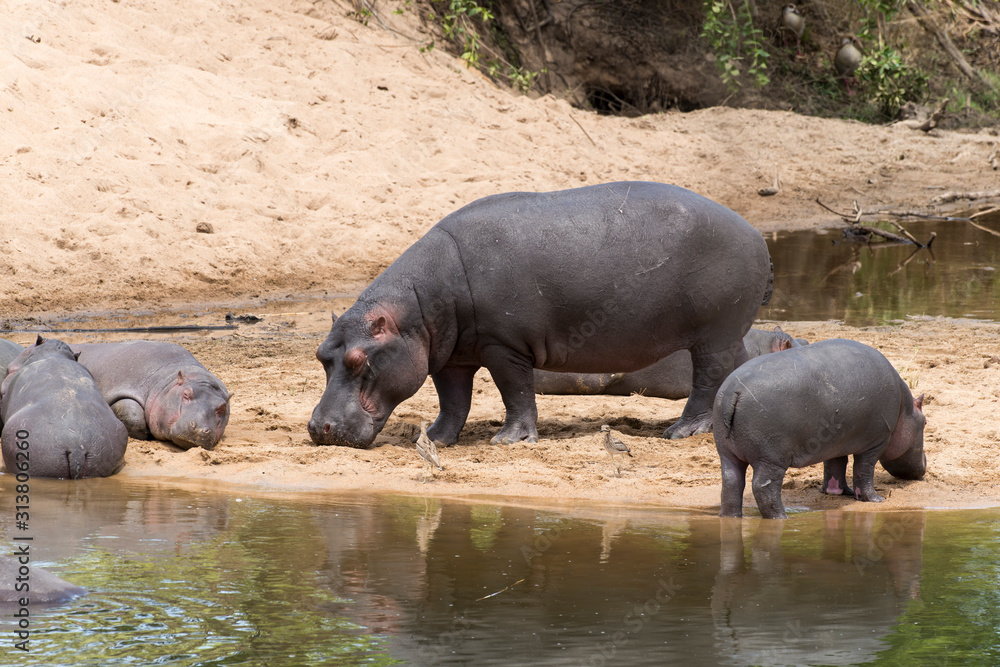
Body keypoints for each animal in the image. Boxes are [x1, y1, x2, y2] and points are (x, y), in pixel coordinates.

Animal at [308, 181, 773, 448]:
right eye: (321, 355)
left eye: (359, 360)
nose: (316, 428)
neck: (416, 310)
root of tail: (756, 233)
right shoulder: (449, 356)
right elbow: (453, 401)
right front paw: (436, 439)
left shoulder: (504, 346)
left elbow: (515, 392)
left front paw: (508, 441)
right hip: (728, 334)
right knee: (736, 365)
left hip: (714, 334)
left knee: (707, 378)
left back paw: (681, 432)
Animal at [713, 338, 927, 519]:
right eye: (925, 422)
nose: (925, 464)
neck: (904, 408)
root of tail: (734, 391)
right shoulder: (877, 441)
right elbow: (863, 471)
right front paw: (875, 499)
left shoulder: (835, 443)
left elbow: (835, 466)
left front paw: (839, 492)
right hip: (770, 459)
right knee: (763, 487)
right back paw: (782, 517)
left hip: (727, 453)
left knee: (731, 483)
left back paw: (731, 517)